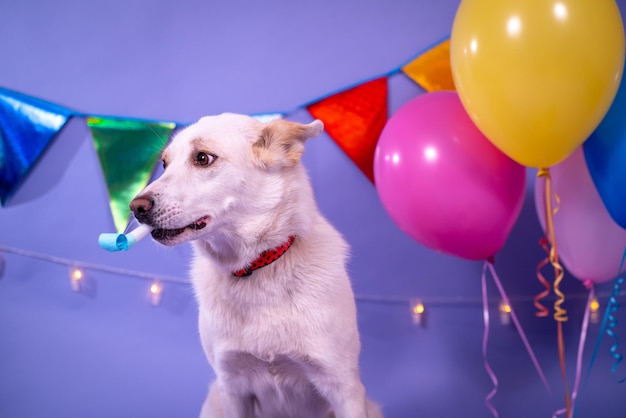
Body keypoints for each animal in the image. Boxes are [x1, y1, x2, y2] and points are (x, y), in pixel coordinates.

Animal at [130, 114, 380, 418]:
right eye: (165, 164)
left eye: (202, 158)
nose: (136, 208)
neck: (256, 268)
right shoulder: (232, 387)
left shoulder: (344, 387)